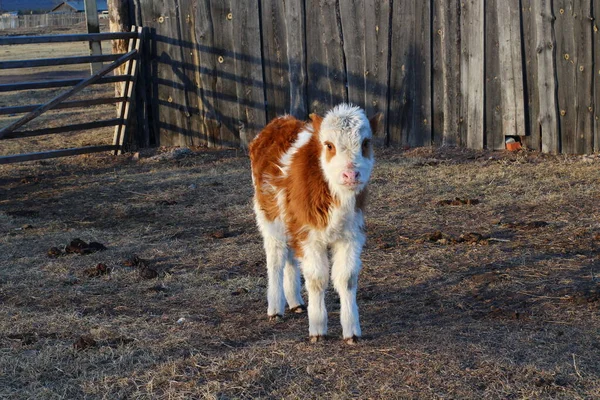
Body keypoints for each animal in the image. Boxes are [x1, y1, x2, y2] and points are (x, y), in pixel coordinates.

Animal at [247, 104, 378, 344]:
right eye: (329, 145)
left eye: (366, 143)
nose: (351, 174)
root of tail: (280, 120)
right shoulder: (309, 235)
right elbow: (317, 279)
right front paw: (317, 328)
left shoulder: (351, 234)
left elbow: (346, 278)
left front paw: (352, 331)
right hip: (269, 217)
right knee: (275, 259)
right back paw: (276, 307)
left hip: (291, 222)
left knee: (291, 258)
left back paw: (295, 301)